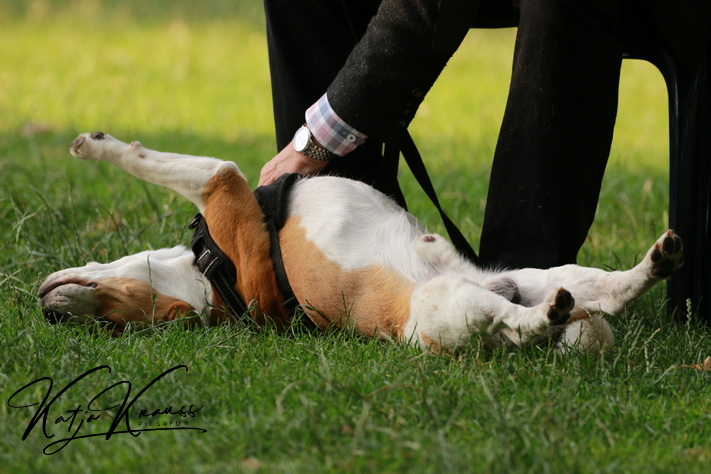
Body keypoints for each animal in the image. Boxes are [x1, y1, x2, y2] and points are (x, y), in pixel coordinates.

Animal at [39, 132, 684, 352]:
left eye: (113, 317)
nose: (49, 313)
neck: (209, 277)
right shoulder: (226, 189)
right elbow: (207, 166)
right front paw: (95, 147)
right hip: (454, 306)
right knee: (519, 321)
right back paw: (547, 316)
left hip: (540, 274)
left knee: (610, 291)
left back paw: (657, 260)